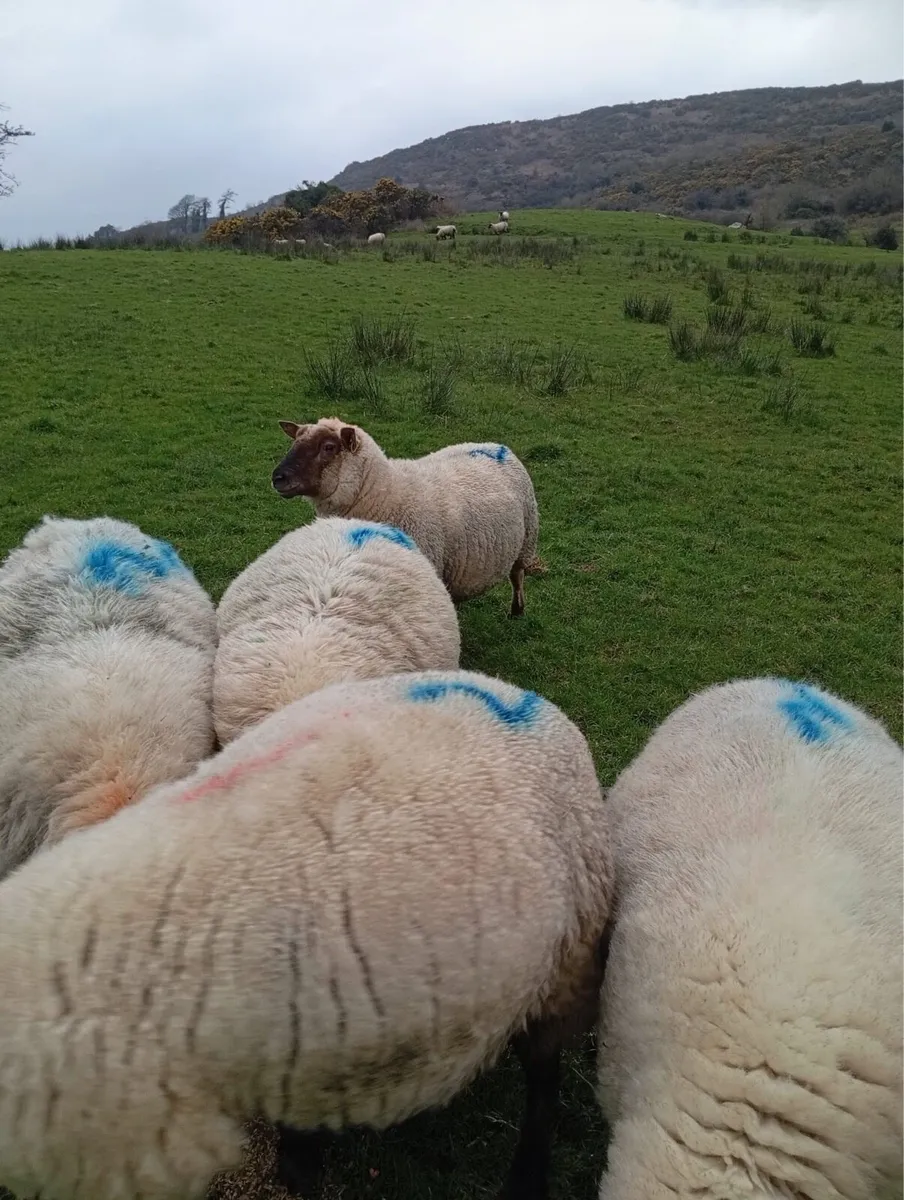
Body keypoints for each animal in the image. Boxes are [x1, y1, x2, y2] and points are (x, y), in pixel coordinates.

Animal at [271, 417, 540, 617]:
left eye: (328, 447)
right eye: (295, 441)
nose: (277, 477)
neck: (385, 494)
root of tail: (498, 446)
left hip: (527, 537)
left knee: (517, 576)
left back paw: (517, 610)